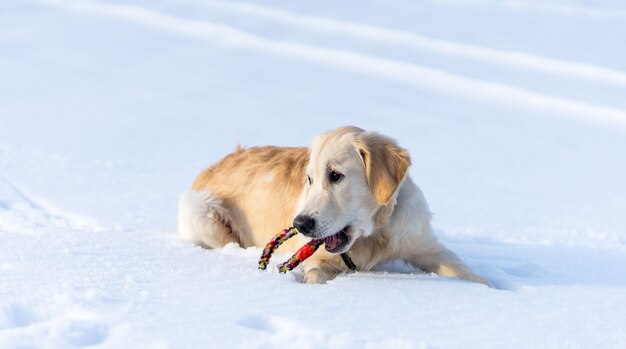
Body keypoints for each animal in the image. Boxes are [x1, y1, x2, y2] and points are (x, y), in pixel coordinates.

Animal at [176, 126, 488, 284]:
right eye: (310, 179)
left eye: (335, 175)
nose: (300, 224)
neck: (373, 236)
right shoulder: (317, 260)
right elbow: (314, 276)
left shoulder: (425, 244)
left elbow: (470, 275)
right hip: (200, 211)